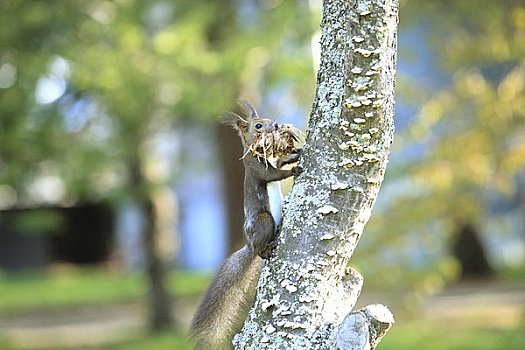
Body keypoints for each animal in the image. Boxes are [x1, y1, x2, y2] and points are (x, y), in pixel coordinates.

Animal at [189, 100, 302, 348]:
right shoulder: (255, 167)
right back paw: (266, 249)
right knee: (260, 248)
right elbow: (273, 175)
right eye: (258, 125)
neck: (259, 152)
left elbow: (280, 161)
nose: (276, 125)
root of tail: (249, 245)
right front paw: (294, 168)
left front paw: (295, 154)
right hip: (264, 221)